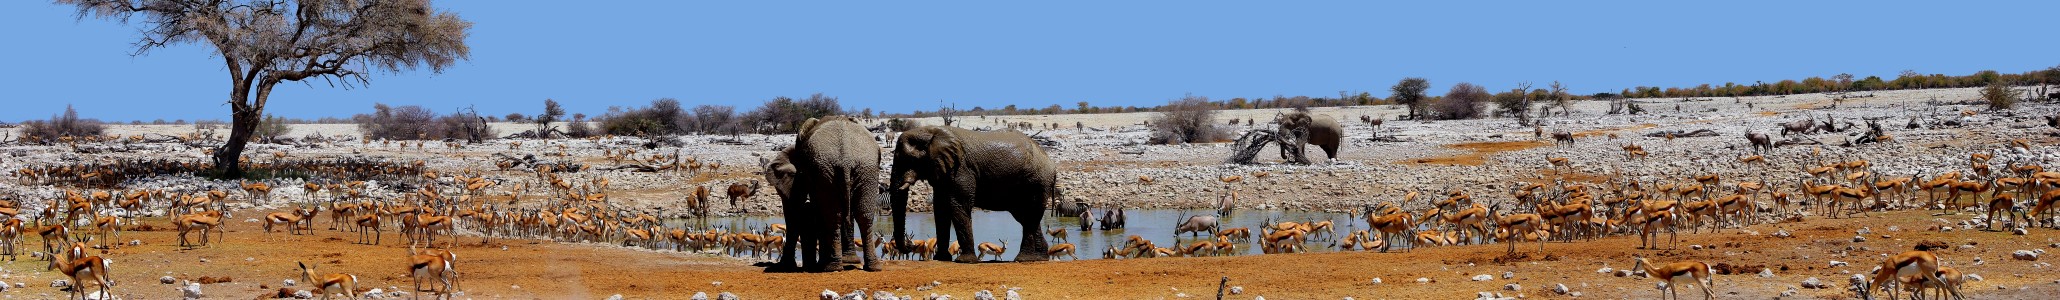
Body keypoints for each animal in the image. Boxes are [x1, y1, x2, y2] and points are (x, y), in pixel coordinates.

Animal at [762, 116, 881, 271]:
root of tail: (847, 155)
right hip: (863, 170)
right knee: (862, 215)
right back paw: (869, 266)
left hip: (835, 170)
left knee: (833, 216)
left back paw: (832, 266)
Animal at [889, 124, 1062, 263]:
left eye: (908, 159)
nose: (910, 247)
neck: (931, 132)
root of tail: (1051, 163)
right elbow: (941, 209)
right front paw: (941, 259)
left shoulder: (961, 169)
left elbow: (958, 206)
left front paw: (964, 261)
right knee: (1026, 217)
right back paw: (1039, 258)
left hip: (1037, 182)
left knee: (1030, 215)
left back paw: (1023, 259)